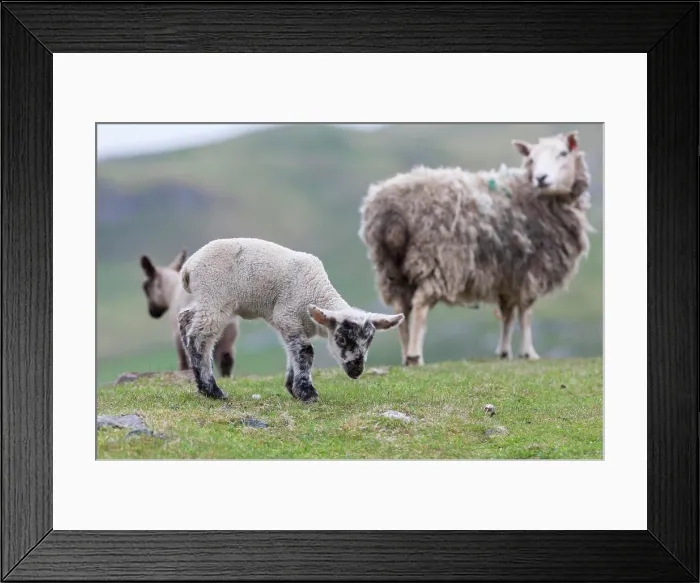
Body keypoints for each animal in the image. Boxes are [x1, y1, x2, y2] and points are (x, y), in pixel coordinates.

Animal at [177, 237, 404, 402]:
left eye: (369, 341)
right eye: (341, 339)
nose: (356, 371)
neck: (316, 291)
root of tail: (188, 267)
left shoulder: (290, 325)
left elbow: (293, 352)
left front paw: (293, 388)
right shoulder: (287, 316)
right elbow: (305, 352)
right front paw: (307, 392)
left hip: (206, 300)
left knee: (185, 319)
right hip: (215, 297)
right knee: (199, 338)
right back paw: (212, 390)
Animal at [358, 130, 593, 366]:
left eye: (563, 153)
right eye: (531, 159)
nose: (541, 178)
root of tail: (392, 209)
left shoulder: (508, 275)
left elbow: (507, 313)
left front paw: (504, 352)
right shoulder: (531, 270)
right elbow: (526, 313)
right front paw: (529, 353)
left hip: (390, 266)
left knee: (401, 308)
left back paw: (406, 355)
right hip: (438, 259)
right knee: (420, 304)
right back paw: (415, 356)